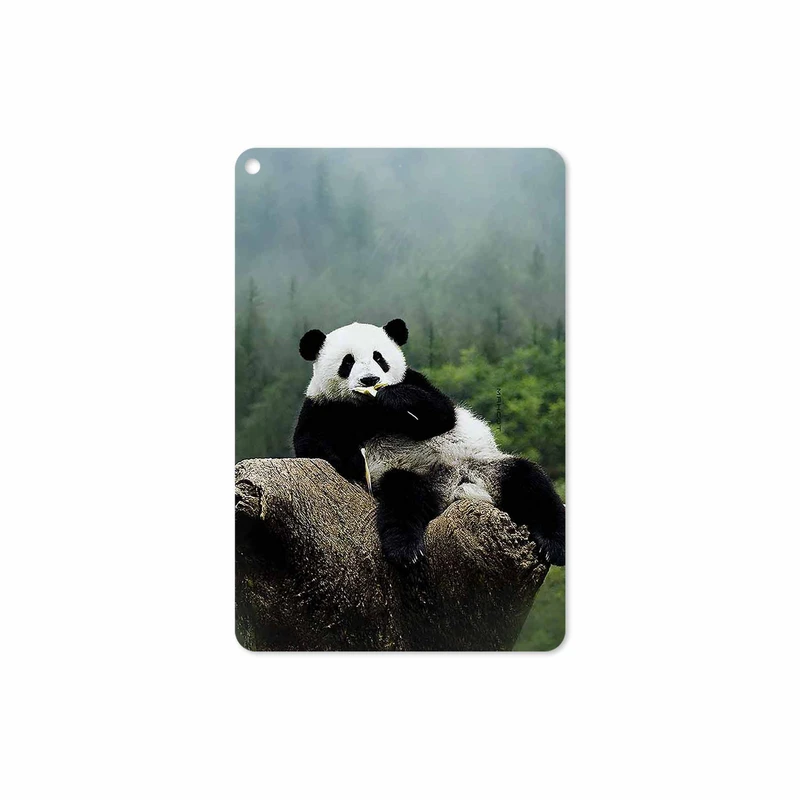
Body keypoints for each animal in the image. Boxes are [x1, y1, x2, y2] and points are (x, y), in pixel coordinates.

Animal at [293, 318, 565, 568]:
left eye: (379, 357)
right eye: (347, 362)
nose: (370, 380)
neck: (368, 410)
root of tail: (457, 487)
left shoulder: (415, 381)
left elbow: (441, 413)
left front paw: (392, 397)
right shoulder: (322, 407)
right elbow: (310, 444)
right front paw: (353, 461)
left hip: (488, 467)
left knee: (531, 482)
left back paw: (554, 545)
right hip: (416, 476)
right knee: (402, 497)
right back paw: (405, 550)